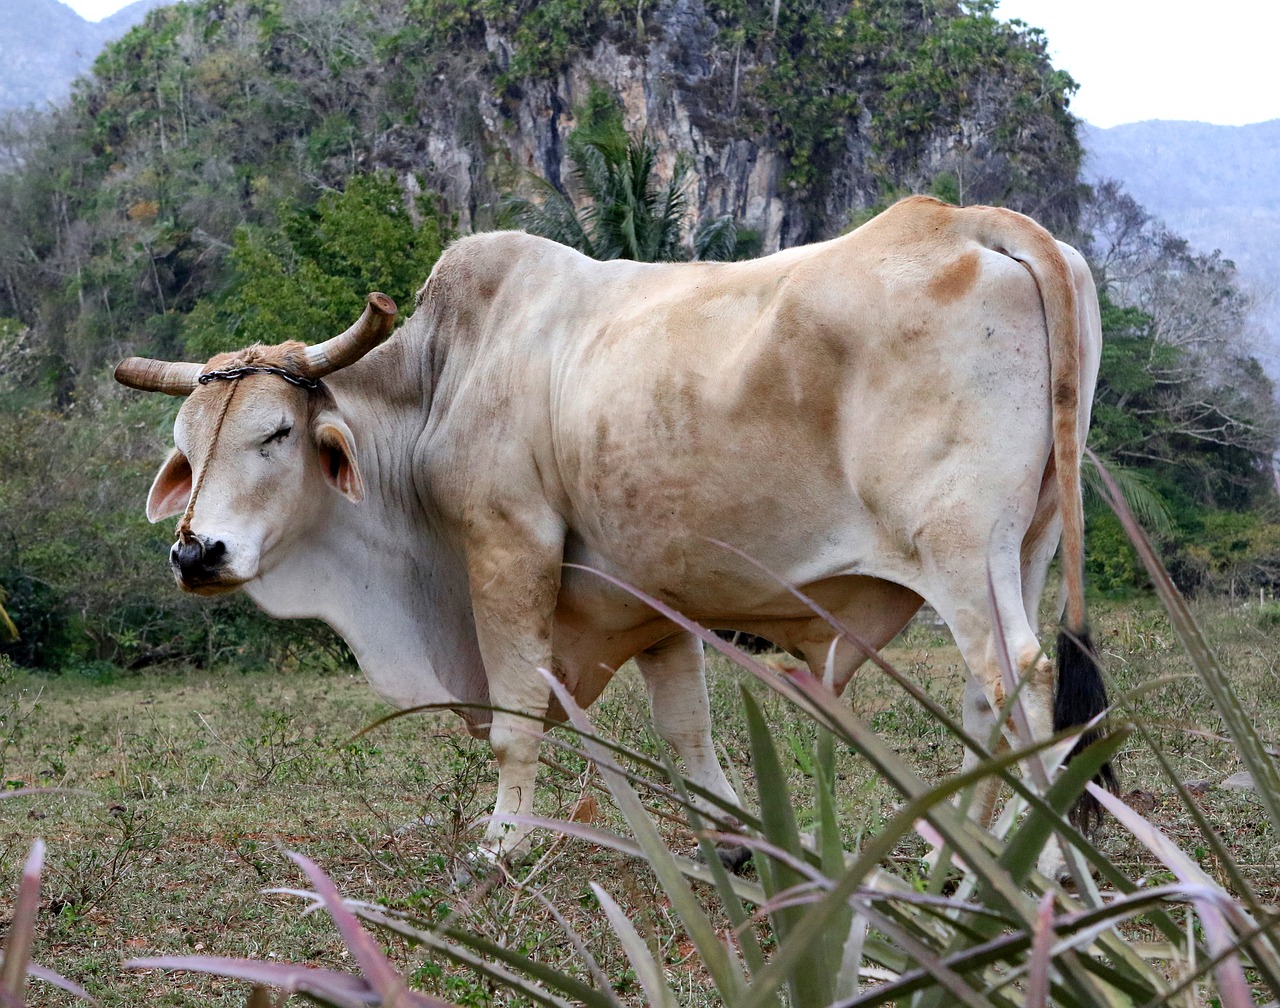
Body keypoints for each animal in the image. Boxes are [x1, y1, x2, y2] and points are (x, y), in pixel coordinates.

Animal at [115, 196, 1105, 864]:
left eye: (275, 434)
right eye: (186, 446)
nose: (196, 551)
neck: (439, 379)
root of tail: (972, 222)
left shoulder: (507, 548)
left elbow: (517, 714)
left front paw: (501, 845)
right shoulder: (653, 592)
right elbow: (688, 728)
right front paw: (732, 841)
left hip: (961, 551)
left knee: (1019, 679)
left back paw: (1034, 871)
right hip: (1024, 548)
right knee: (986, 698)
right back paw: (962, 865)